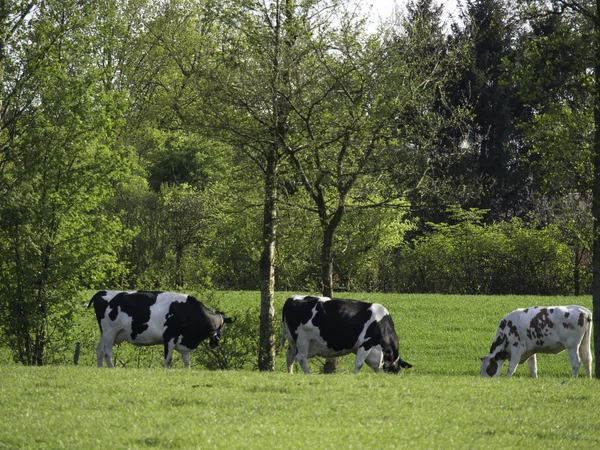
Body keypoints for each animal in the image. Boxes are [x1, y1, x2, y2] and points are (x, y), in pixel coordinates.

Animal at [88, 292, 233, 370]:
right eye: (222, 327)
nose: (216, 343)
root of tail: (101, 292)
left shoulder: (185, 344)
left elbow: (187, 363)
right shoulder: (169, 337)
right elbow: (168, 359)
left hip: (104, 333)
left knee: (99, 350)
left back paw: (100, 368)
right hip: (110, 332)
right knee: (107, 352)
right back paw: (112, 368)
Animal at [282, 294, 412, 374]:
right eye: (395, 371)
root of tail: (292, 297)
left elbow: (377, 367)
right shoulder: (366, 344)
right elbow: (359, 364)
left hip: (293, 341)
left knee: (290, 356)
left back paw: (290, 374)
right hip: (303, 339)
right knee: (301, 358)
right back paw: (309, 374)